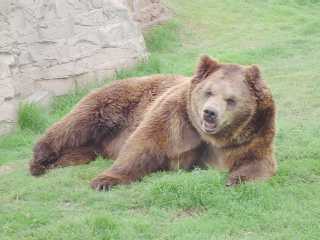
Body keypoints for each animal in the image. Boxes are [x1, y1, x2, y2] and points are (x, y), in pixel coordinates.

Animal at [28, 55, 276, 189]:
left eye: (230, 99)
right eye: (209, 92)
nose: (209, 113)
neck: (212, 138)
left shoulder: (254, 135)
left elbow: (258, 162)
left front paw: (235, 179)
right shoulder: (177, 120)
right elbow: (143, 145)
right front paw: (104, 180)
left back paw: (56, 162)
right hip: (113, 104)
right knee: (76, 123)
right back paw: (40, 158)